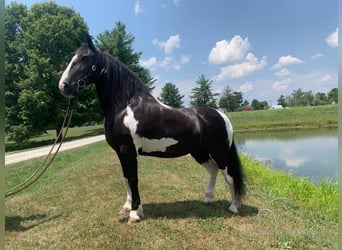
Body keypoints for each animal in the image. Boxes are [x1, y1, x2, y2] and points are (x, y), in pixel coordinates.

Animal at [59, 34, 246, 224]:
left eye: (85, 57)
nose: (63, 85)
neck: (125, 106)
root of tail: (222, 115)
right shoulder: (121, 152)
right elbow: (126, 178)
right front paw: (128, 207)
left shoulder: (128, 151)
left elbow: (133, 178)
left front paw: (134, 213)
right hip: (200, 152)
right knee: (213, 171)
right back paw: (207, 199)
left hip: (219, 153)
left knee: (229, 177)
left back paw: (233, 207)